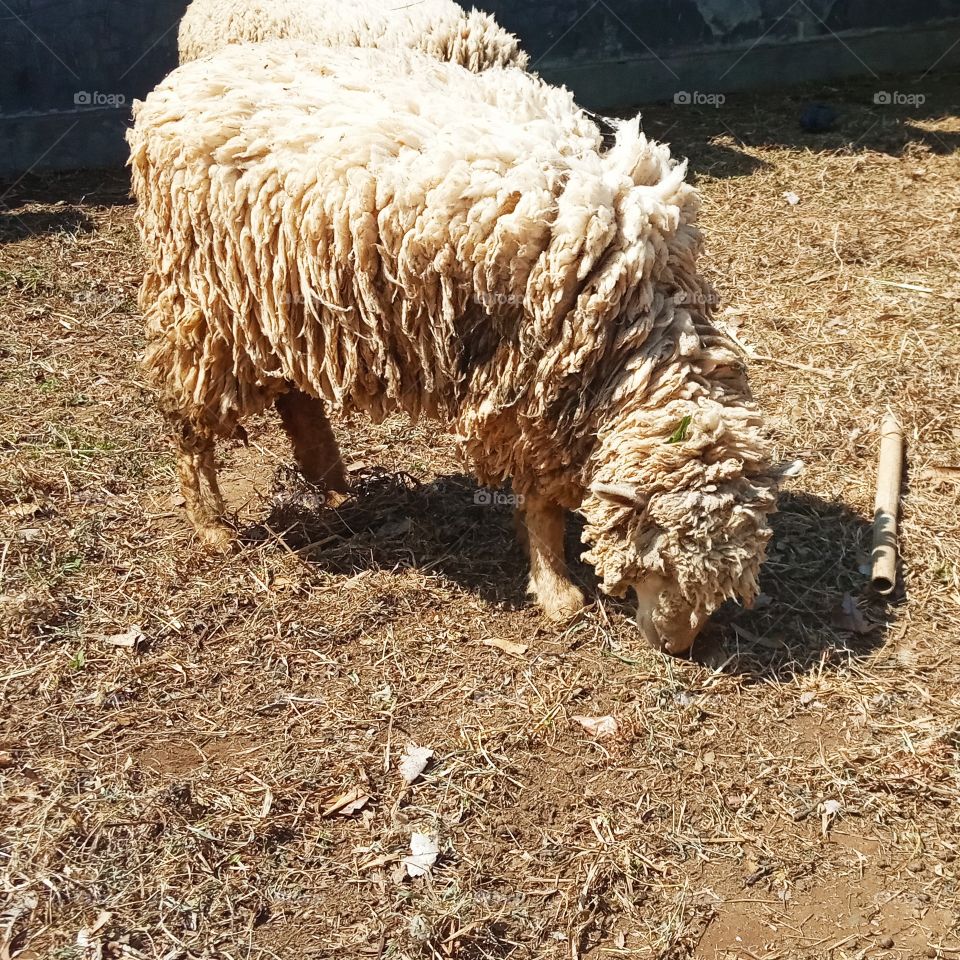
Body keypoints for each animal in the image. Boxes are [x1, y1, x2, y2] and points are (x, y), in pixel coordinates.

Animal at [128, 41, 787, 654]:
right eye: (662, 563)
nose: (678, 646)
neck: (635, 322)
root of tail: (172, 87)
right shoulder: (529, 385)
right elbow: (540, 499)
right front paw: (556, 590)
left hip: (280, 299)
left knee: (295, 391)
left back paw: (331, 480)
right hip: (204, 299)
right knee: (189, 415)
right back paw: (212, 522)